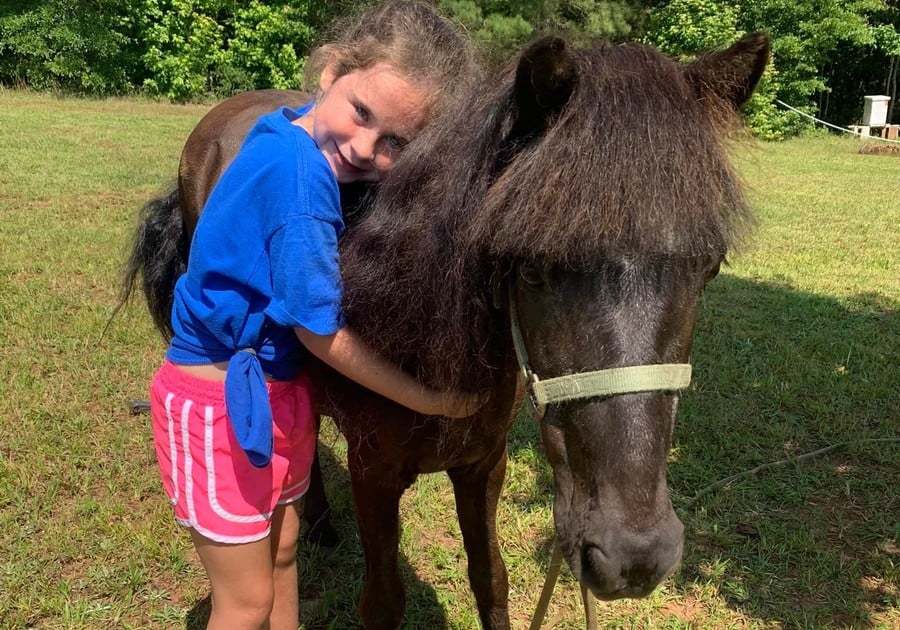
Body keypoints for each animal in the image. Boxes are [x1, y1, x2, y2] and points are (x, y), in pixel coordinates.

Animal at [125, 34, 768, 630]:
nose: (634, 555)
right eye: (531, 268)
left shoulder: (484, 465)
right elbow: (384, 601)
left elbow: (491, 578)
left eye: (710, 267)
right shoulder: (373, 474)